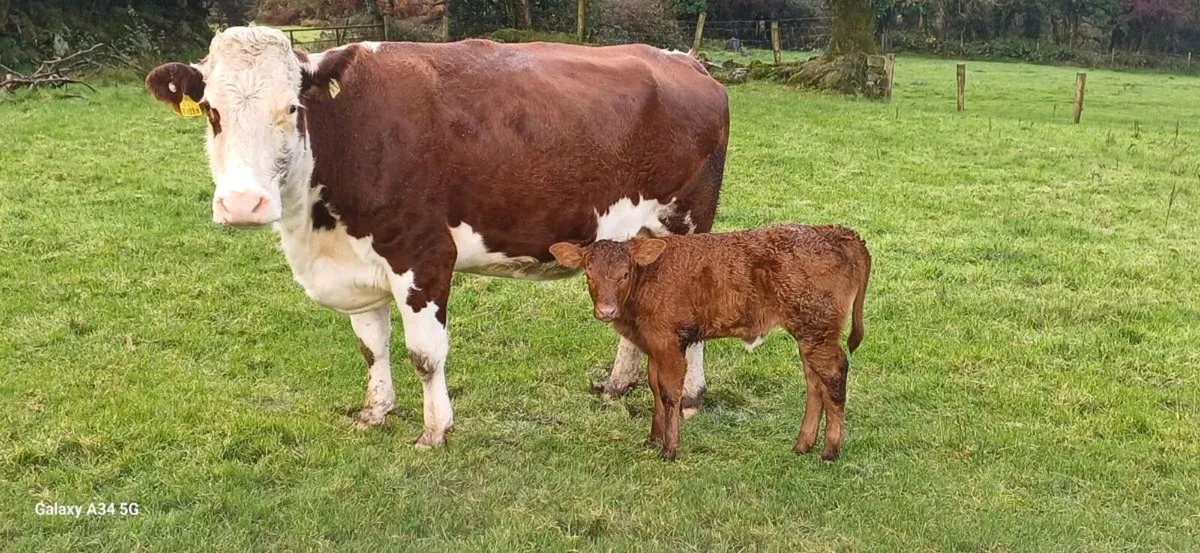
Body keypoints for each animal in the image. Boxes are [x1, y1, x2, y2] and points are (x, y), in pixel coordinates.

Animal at [143, 27, 729, 447]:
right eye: (212, 112)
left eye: (291, 108)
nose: (243, 204)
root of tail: (685, 60)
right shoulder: (358, 262)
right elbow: (370, 346)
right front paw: (375, 411)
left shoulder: (422, 255)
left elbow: (424, 354)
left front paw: (434, 431)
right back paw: (617, 384)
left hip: (686, 222)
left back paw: (691, 395)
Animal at [548, 225, 871, 461]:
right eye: (589, 273)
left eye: (624, 274)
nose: (606, 311)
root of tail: (839, 233)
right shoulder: (653, 343)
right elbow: (654, 387)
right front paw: (653, 438)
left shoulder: (669, 342)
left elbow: (670, 393)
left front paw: (669, 449)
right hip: (810, 334)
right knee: (814, 381)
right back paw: (803, 445)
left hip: (817, 329)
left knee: (833, 376)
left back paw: (830, 451)